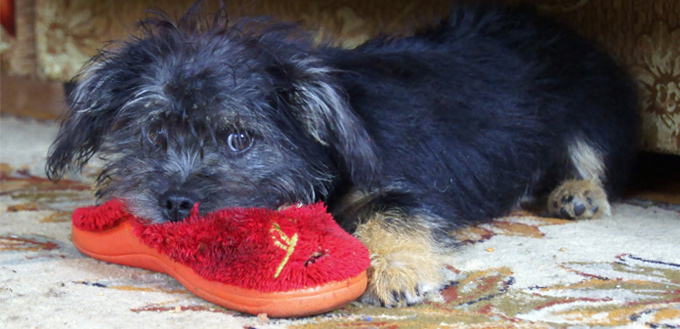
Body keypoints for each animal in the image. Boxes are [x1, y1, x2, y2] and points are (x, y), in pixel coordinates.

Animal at [45, 2, 640, 306]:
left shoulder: (400, 185)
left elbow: (390, 214)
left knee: (590, 155)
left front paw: (398, 270)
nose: (173, 204)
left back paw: (577, 193)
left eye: (240, 139)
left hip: (591, 103)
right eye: (152, 134)